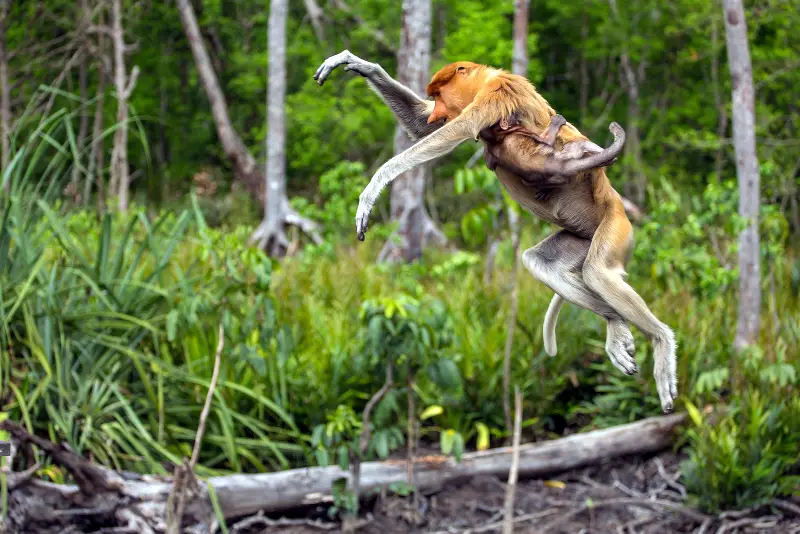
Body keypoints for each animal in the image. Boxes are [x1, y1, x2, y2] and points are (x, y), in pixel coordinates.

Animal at [316, 50, 680, 412]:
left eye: (439, 95)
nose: (437, 112)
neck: (486, 79)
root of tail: (616, 208)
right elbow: (420, 126)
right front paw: (356, 64)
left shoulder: (498, 92)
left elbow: (459, 128)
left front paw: (373, 188)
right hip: (582, 237)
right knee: (542, 262)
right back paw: (615, 324)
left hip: (614, 226)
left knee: (597, 272)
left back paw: (661, 341)